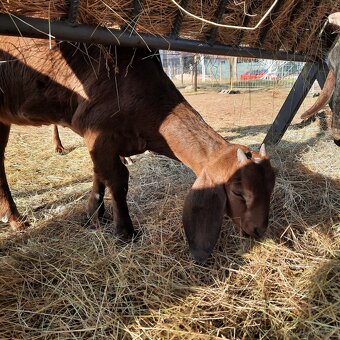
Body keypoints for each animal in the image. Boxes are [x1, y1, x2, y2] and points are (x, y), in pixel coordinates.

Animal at [0, 38, 274, 264]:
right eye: (238, 192)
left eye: (270, 188)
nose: (259, 230)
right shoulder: (97, 132)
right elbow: (118, 180)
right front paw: (125, 231)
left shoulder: (103, 143)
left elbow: (99, 175)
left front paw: (93, 215)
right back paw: (15, 219)